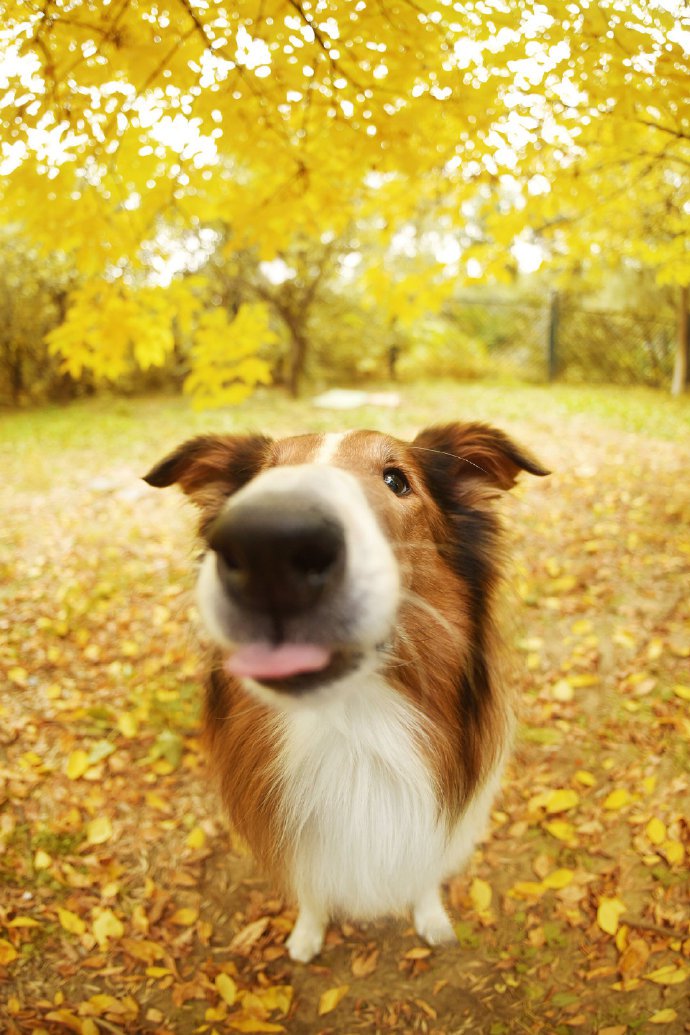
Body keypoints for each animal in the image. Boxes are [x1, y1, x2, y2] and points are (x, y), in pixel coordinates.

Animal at [142, 420, 546, 960]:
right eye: (261, 480)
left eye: (397, 480)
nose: (269, 543)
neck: (353, 728)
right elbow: (313, 890)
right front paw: (307, 934)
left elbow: (424, 878)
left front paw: (431, 918)